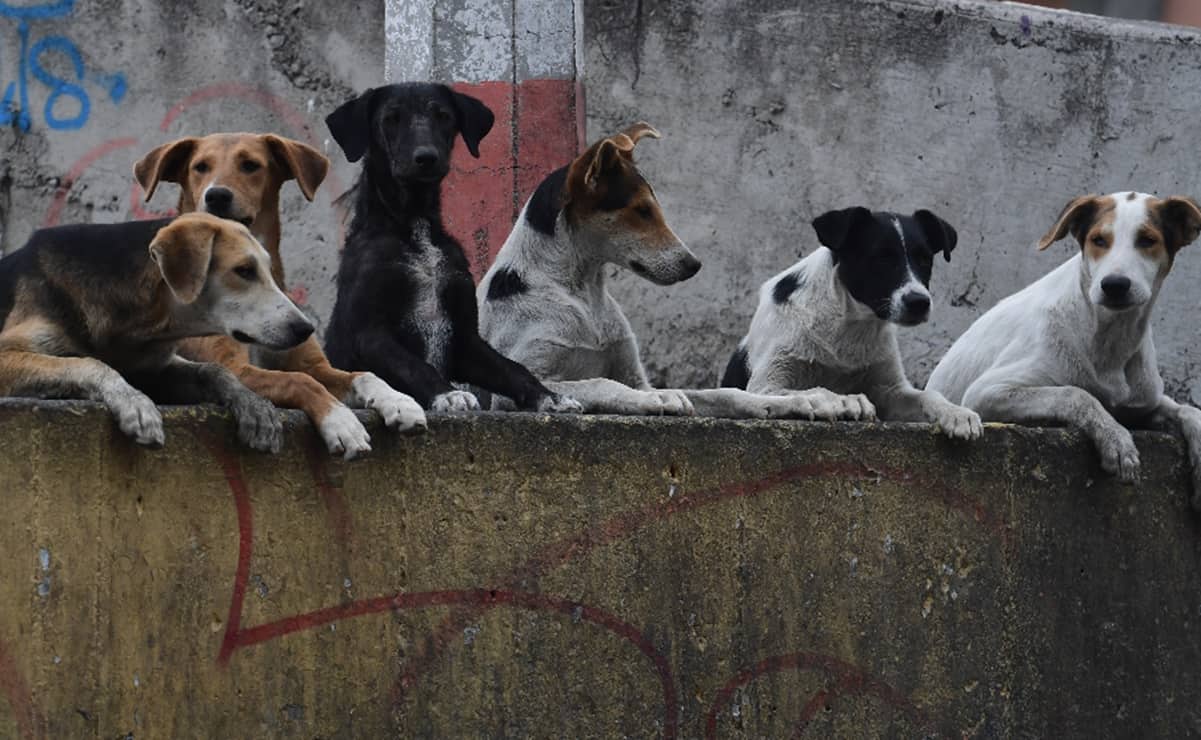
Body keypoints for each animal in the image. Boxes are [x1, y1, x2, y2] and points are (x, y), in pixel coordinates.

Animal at [133, 132, 427, 456]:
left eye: (250, 165)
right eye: (200, 167)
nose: (216, 195)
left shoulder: (314, 364)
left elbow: (362, 375)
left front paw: (399, 401)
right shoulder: (234, 368)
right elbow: (298, 381)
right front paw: (341, 422)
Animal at [319, 85, 581, 415]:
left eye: (443, 116)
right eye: (391, 118)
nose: (426, 158)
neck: (415, 223)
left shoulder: (465, 338)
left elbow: (513, 370)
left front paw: (550, 396)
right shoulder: (369, 332)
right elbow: (413, 365)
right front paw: (447, 394)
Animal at [720, 206, 984, 439]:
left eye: (925, 259)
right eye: (881, 258)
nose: (919, 302)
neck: (849, 326)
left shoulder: (891, 391)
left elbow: (929, 395)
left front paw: (957, 413)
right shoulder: (765, 385)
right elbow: (813, 390)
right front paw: (844, 400)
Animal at [927, 187, 1201, 506]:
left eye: (1147, 240)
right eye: (1098, 240)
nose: (1114, 285)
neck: (1107, 336)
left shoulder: (1145, 402)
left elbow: (1188, 410)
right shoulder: (987, 392)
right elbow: (1077, 394)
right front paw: (1116, 440)